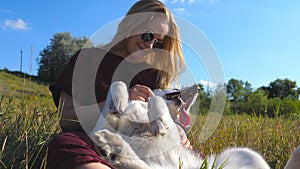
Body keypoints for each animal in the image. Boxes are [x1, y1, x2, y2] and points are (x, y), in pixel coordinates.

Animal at [89, 81, 296, 168]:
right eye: (170, 86)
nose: (195, 87)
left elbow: (156, 100)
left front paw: (158, 120)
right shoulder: (99, 126)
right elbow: (117, 83)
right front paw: (118, 101)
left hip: (247, 153)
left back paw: (114, 146)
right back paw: (112, 146)